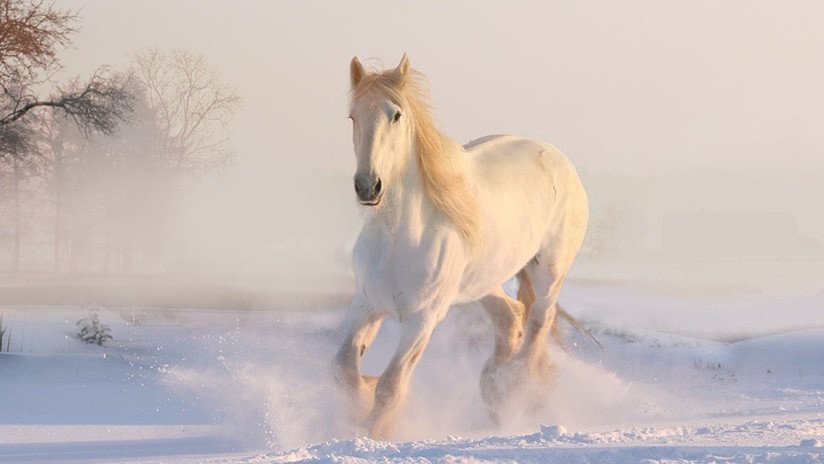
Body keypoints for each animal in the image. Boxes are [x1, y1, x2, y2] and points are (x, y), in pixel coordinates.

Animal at [336, 55, 592, 438]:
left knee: (538, 322)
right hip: (482, 282)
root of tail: (557, 157)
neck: (399, 239)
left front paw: (371, 431)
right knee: (511, 317)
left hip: (549, 270)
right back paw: (495, 390)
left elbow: (391, 385)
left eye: (396, 115)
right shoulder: (366, 304)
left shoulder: (423, 318)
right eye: (353, 116)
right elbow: (344, 370)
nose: (368, 187)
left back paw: (516, 389)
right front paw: (358, 409)